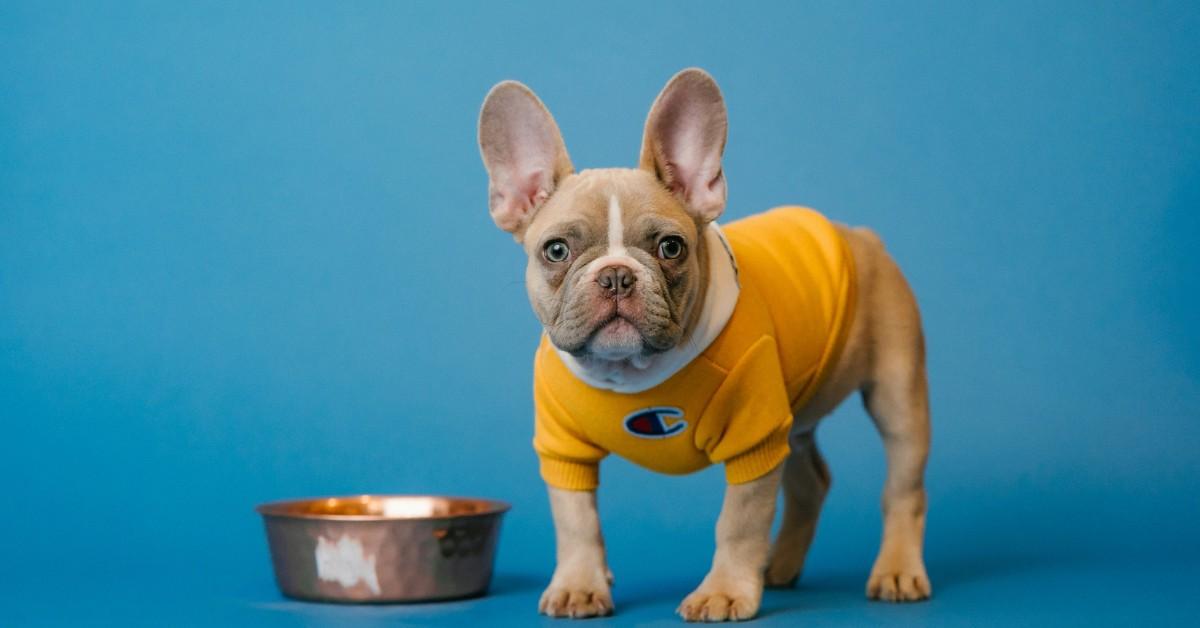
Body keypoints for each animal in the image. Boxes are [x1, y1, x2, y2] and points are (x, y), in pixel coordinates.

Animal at [472, 69, 931, 624]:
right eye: (556, 250)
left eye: (671, 247)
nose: (617, 276)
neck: (630, 372)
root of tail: (862, 236)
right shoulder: (564, 449)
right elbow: (576, 520)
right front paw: (580, 584)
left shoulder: (754, 438)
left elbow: (739, 522)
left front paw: (725, 591)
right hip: (794, 416)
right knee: (810, 481)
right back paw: (780, 566)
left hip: (896, 395)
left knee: (902, 487)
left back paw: (897, 570)